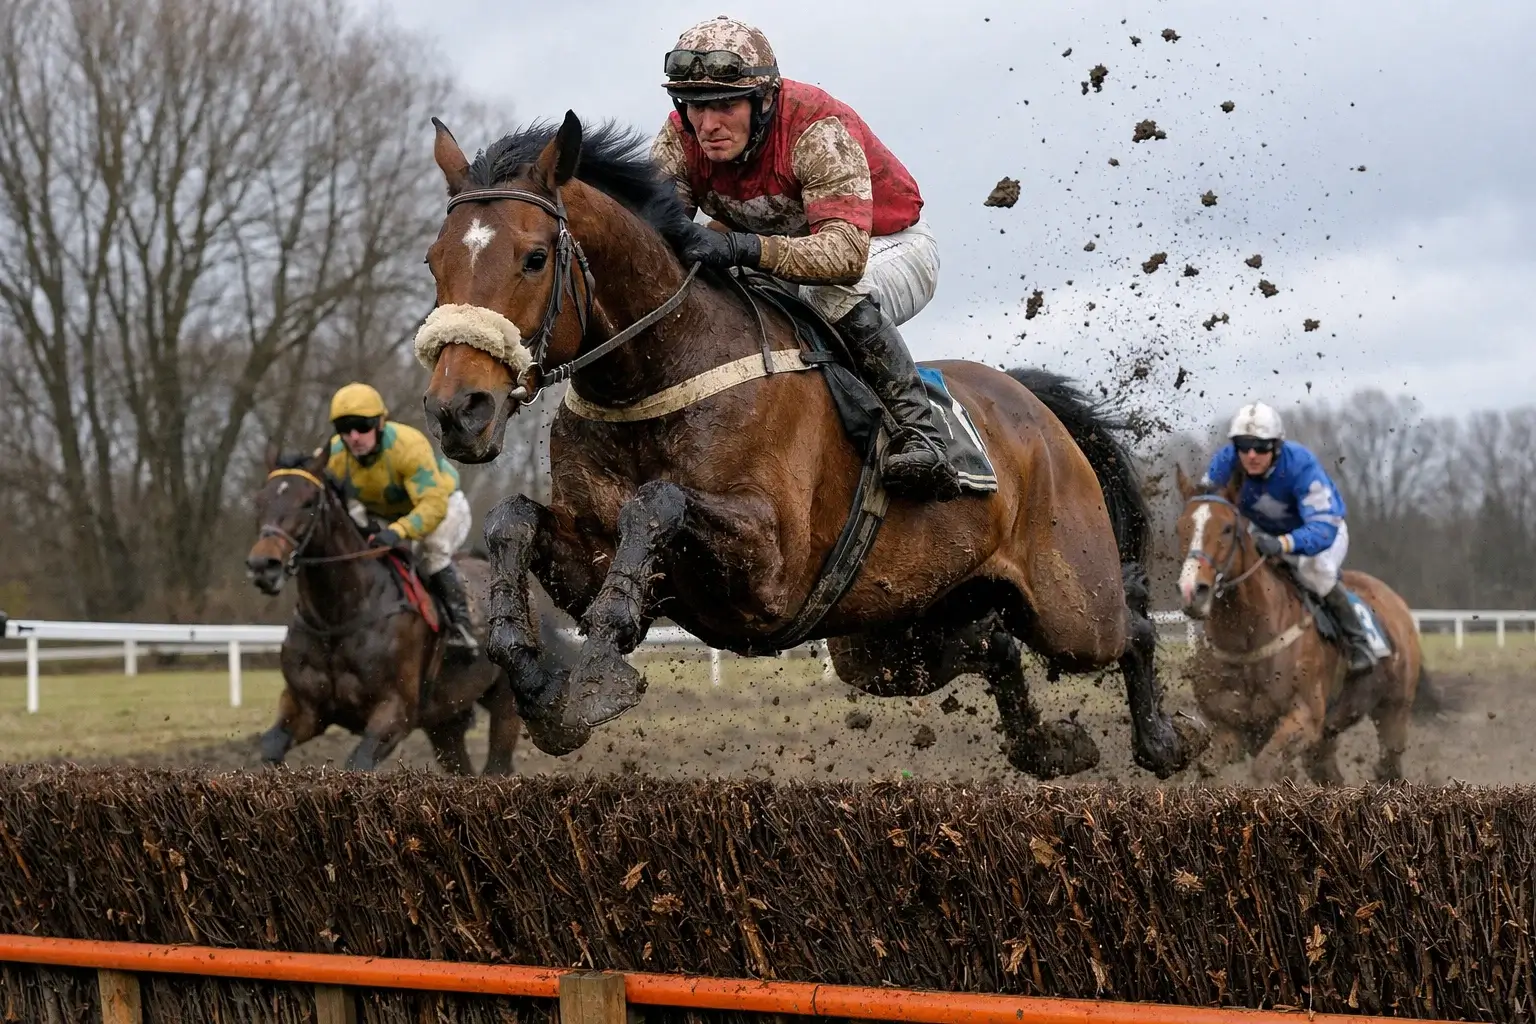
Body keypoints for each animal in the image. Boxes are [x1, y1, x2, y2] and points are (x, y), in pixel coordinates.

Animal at [244, 448, 523, 774]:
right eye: (260, 500)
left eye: (308, 501)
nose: (264, 565)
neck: (338, 617)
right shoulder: (305, 706)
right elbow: (271, 745)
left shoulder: (396, 711)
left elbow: (358, 762)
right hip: (445, 718)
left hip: (504, 702)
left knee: (497, 764)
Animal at [415, 112, 1208, 780]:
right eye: (435, 260)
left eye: (533, 258)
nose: (459, 410)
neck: (658, 372)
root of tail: (1034, 405)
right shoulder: (589, 552)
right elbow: (512, 518)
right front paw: (531, 672)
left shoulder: (771, 570)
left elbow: (658, 501)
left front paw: (591, 679)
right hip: (889, 637)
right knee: (994, 642)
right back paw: (1051, 746)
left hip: (1072, 603)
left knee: (1132, 624)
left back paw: (1170, 739)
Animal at [1173, 465, 1434, 783]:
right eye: (1181, 528)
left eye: (1226, 528)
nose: (1191, 590)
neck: (1247, 640)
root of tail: (1395, 601)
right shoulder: (1230, 728)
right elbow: (1206, 768)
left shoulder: (1305, 716)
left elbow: (1265, 768)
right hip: (1328, 734)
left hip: (1393, 709)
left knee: (1389, 765)